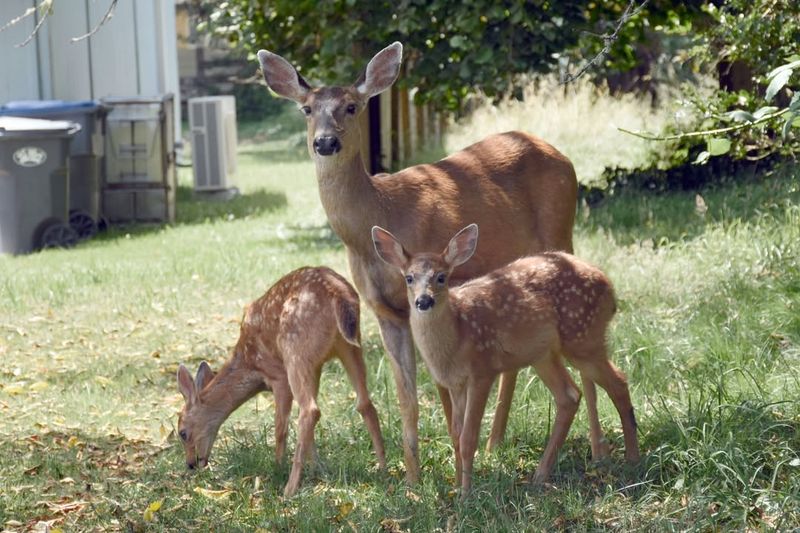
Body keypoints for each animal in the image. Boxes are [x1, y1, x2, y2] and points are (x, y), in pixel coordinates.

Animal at [176, 266, 386, 498]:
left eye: (182, 433)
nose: (190, 464)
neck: (249, 364)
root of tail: (338, 293)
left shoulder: (278, 376)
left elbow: (279, 427)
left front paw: (278, 467)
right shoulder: (316, 367)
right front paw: (320, 469)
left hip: (293, 348)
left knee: (310, 410)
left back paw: (289, 489)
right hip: (349, 346)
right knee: (364, 403)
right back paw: (384, 470)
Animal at [257, 42, 578, 484]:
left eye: (352, 106)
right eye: (306, 108)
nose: (325, 142)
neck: (382, 214)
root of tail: (560, 155)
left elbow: (443, 387)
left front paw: (455, 462)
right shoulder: (384, 311)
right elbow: (406, 397)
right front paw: (412, 478)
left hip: (563, 231)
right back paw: (495, 443)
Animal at [372, 223, 640, 496]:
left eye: (441, 277)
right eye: (409, 278)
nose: (424, 301)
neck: (458, 333)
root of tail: (609, 287)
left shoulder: (483, 369)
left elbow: (468, 437)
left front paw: (466, 494)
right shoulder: (456, 383)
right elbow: (455, 435)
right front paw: (456, 486)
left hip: (583, 337)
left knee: (618, 382)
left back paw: (632, 459)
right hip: (544, 354)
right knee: (570, 395)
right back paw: (540, 476)